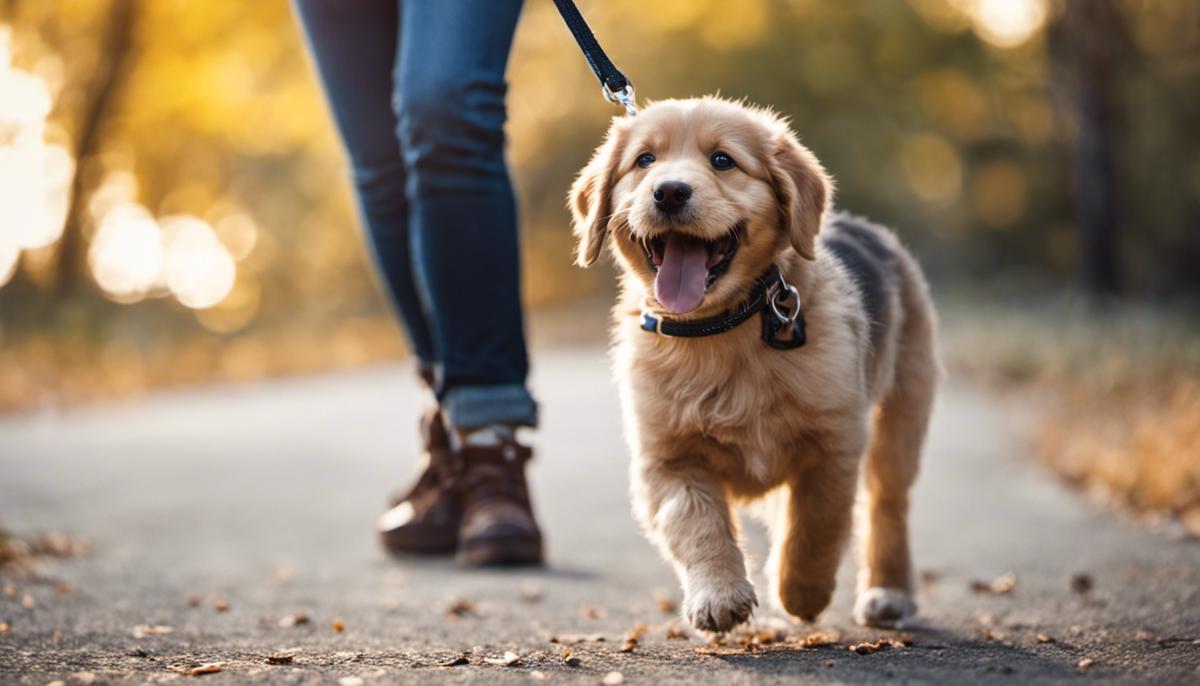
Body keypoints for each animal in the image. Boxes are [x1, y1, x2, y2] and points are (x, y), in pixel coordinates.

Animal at [571, 97, 936, 633]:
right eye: (644, 161)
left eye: (723, 160)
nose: (669, 191)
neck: (719, 330)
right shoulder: (668, 457)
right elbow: (696, 522)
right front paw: (718, 595)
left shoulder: (835, 441)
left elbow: (815, 522)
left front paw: (801, 591)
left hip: (900, 418)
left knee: (888, 505)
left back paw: (888, 592)